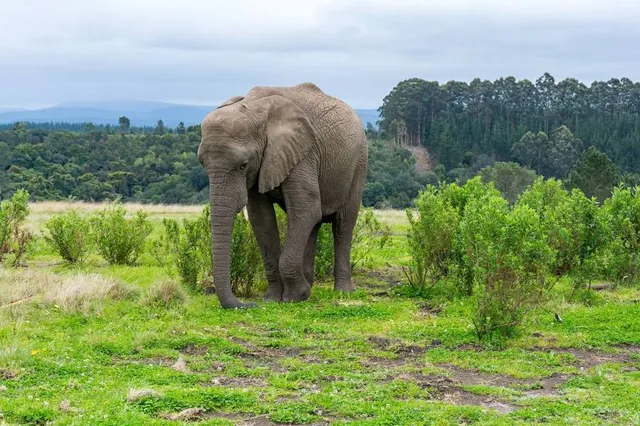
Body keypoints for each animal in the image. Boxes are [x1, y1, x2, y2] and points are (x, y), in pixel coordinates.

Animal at [197, 82, 368, 309]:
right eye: (202, 163)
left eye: (243, 165)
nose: (250, 305)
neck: (254, 108)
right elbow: (262, 219)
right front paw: (273, 299)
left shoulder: (303, 154)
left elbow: (306, 208)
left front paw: (295, 296)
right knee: (312, 225)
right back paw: (310, 286)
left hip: (358, 163)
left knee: (342, 224)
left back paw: (342, 292)